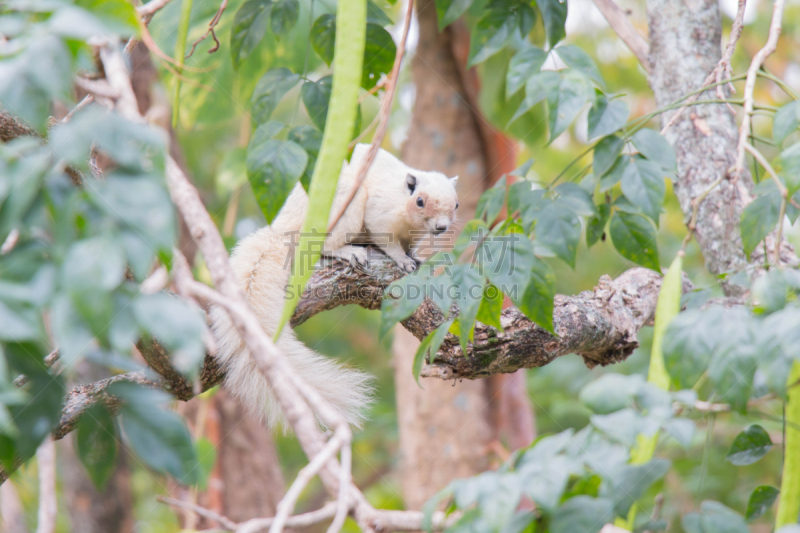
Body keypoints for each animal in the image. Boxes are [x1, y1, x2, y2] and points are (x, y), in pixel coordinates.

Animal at [209, 143, 460, 426]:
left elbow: (410, 246)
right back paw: (349, 251)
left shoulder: (414, 235)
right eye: (420, 201)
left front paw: (415, 258)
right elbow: (388, 241)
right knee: (324, 245)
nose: (441, 227)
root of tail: (283, 229)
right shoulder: (380, 214)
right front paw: (402, 260)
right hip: (342, 204)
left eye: (456, 204)